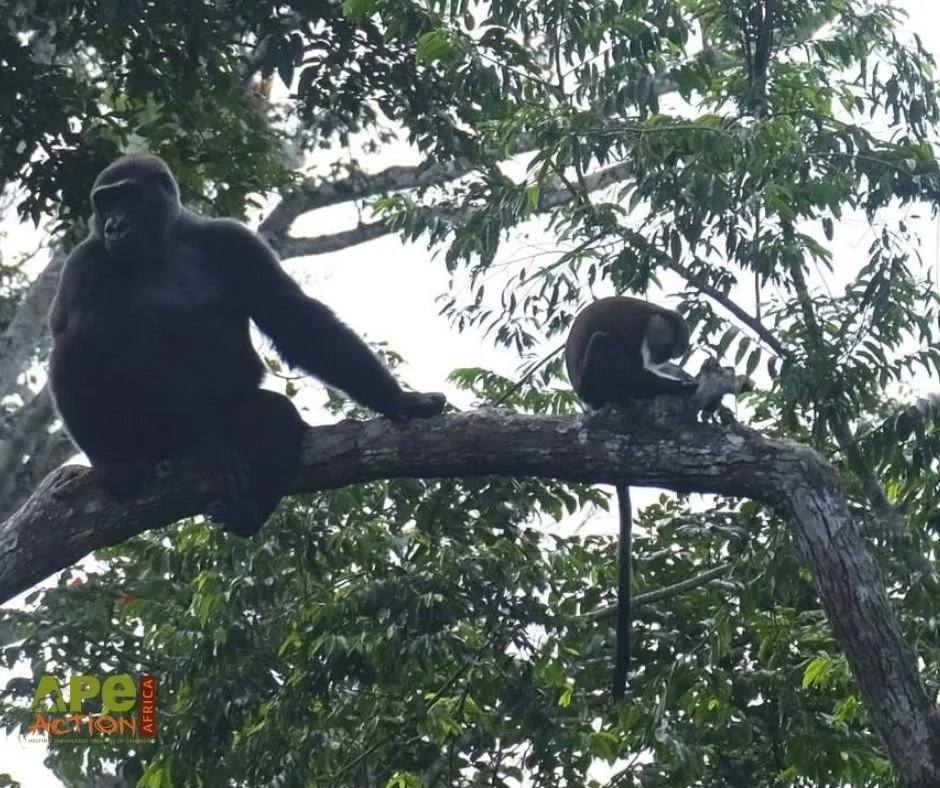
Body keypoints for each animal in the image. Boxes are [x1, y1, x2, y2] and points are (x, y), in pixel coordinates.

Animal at [48, 153, 447, 537]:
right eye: (104, 202)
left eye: (127, 196)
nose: (113, 226)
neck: (165, 243)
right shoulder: (84, 262)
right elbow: (87, 339)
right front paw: (131, 457)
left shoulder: (236, 241)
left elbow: (294, 318)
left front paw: (398, 399)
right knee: (81, 348)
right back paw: (135, 457)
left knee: (275, 418)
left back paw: (248, 510)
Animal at [564, 296, 699, 698]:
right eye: (668, 344)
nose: (665, 355)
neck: (656, 314)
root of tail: (588, 402)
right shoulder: (643, 329)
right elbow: (635, 364)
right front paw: (681, 386)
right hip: (597, 380)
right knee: (603, 347)